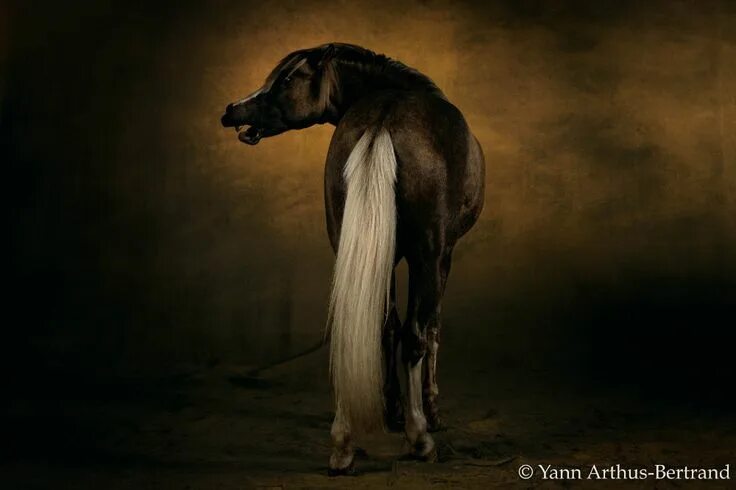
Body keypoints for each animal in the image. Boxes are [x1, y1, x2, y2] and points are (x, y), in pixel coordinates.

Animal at [221, 43, 485, 474]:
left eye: (287, 78)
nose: (232, 110)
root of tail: (384, 118)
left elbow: (386, 327)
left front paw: (391, 409)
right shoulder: (443, 254)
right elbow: (429, 330)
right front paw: (429, 411)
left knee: (365, 324)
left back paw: (344, 442)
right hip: (428, 254)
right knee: (415, 334)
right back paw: (419, 437)